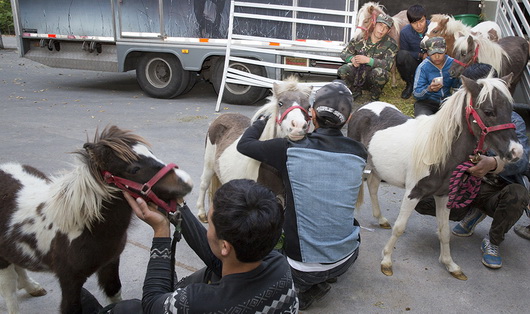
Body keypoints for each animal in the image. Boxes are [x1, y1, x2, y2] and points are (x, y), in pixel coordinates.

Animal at [0, 125, 192, 314]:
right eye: (134, 169)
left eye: (152, 153)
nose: (187, 182)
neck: (83, 226)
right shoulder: (69, 280)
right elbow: (71, 308)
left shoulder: (110, 262)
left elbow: (114, 291)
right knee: (9, 289)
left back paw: (32, 287)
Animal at [195, 77, 312, 222]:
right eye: (280, 103)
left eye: (308, 107)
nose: (298, 126)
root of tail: (223, 115)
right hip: (209, 164)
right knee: (204, 184)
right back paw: (202, 213)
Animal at [346, 73, 520, 280]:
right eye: (488, 111)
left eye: (510, 110)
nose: (516, 151)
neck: (438, 153)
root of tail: (363, 108)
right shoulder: (413, 193)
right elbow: (400, 227)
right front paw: (386, 260)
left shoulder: (444, 196)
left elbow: (444, 231)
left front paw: (450, 264)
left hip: (377, 167)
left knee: (373, 186)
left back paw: (380, 219)